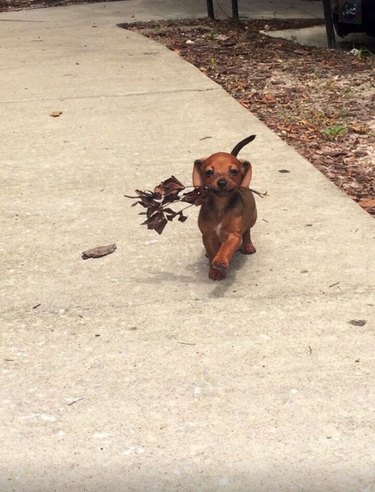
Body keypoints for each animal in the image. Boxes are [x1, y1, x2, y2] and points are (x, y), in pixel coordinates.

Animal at [194, 135, 258, 280]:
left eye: (233, 171)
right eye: (209, 172)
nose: (222, 182)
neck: (221, 206)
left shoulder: (234, 235)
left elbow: (227, 247)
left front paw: (220, 260)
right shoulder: (208, 235)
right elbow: (213, 251)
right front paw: (215, 271)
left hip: (252, 218)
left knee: (247, 232)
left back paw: (248, 246)